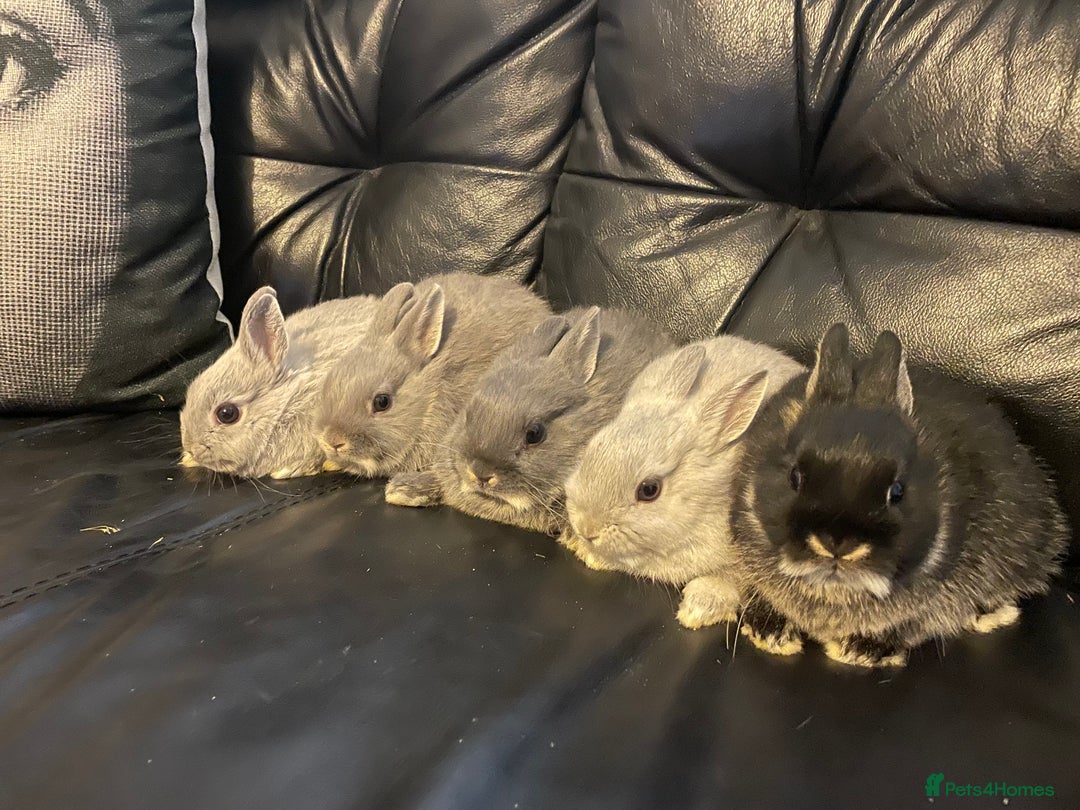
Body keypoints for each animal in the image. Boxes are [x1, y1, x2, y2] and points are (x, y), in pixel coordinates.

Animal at [560, 336, 805, 629]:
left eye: (649, 490)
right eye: (594, 446)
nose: (586, 528)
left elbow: (732, 580)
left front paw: (697, 609)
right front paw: (588, 554)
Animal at [730, 323, 1069, 668]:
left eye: (897, 491)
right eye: (794, 477)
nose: (837, 544)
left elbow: (916, 623)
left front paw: (860, 650)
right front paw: (769, 632)